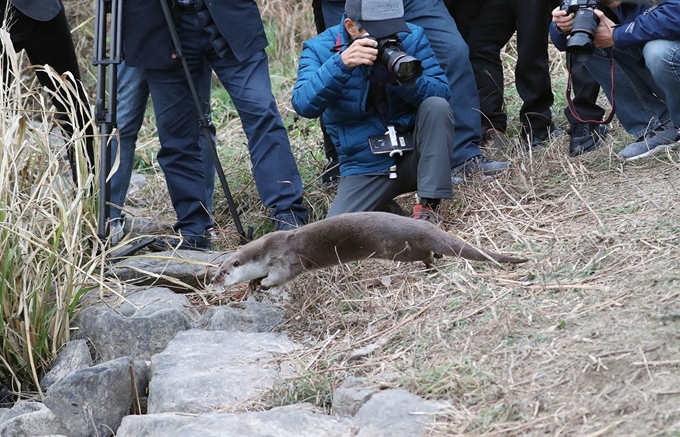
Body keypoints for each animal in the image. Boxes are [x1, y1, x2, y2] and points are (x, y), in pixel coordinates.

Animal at [211, 211, 524, 290]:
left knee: (424, 254)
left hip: (399, 249)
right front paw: (253, 283)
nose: (211, 282)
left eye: (223, 272)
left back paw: (430, 264)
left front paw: (264, 283)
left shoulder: (285, 257)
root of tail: (418, 225)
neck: (265, 251)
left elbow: (281, 276)